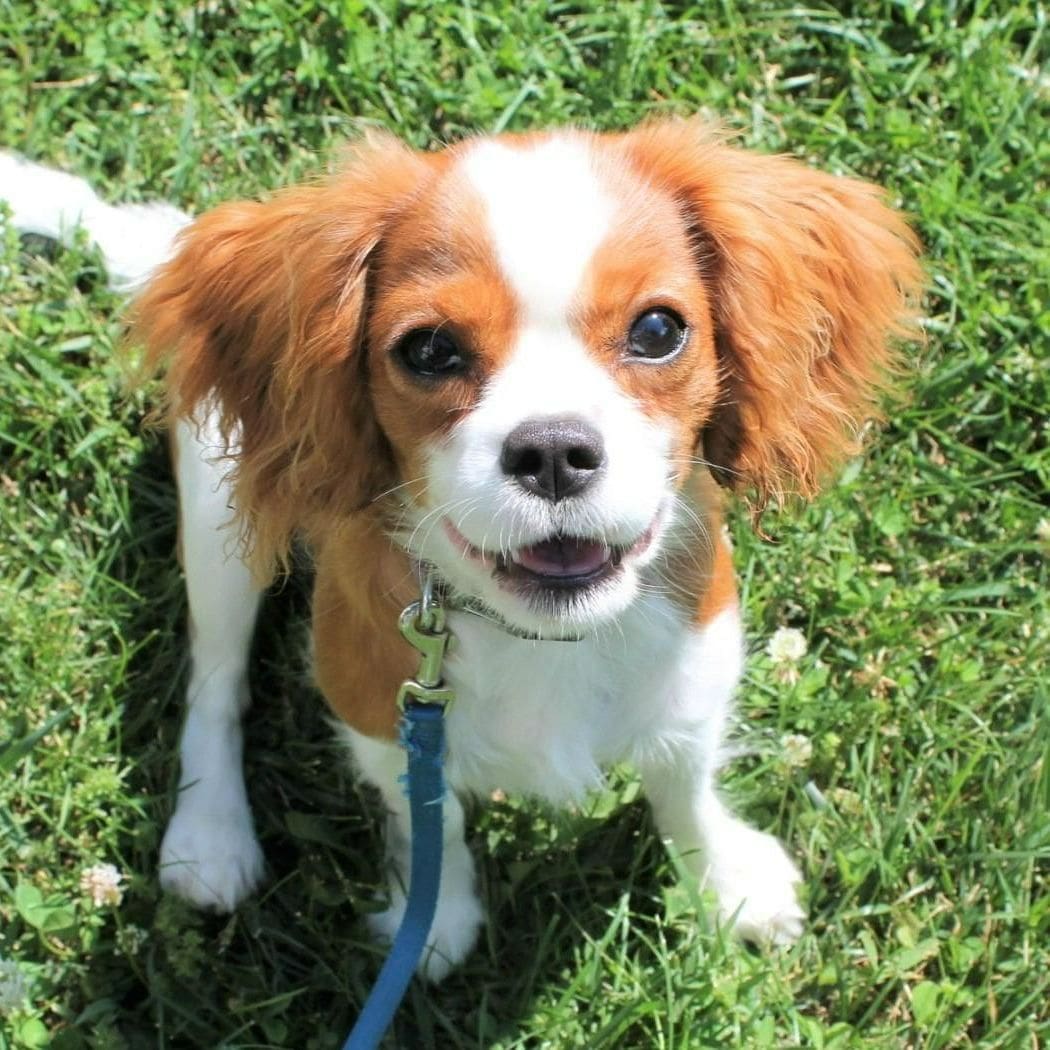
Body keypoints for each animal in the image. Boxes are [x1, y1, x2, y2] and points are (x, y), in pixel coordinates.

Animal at [0, 124, 919, 982]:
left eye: (658, 330)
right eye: (430, 350)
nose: (552, 452)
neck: (543, 634)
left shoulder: (696, 668)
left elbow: (684, 784)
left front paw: (723, 881)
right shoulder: (383, 712)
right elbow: (427, 812)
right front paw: (436, 919)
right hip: (223, 513)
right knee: (215, 679)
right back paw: (212, 832)